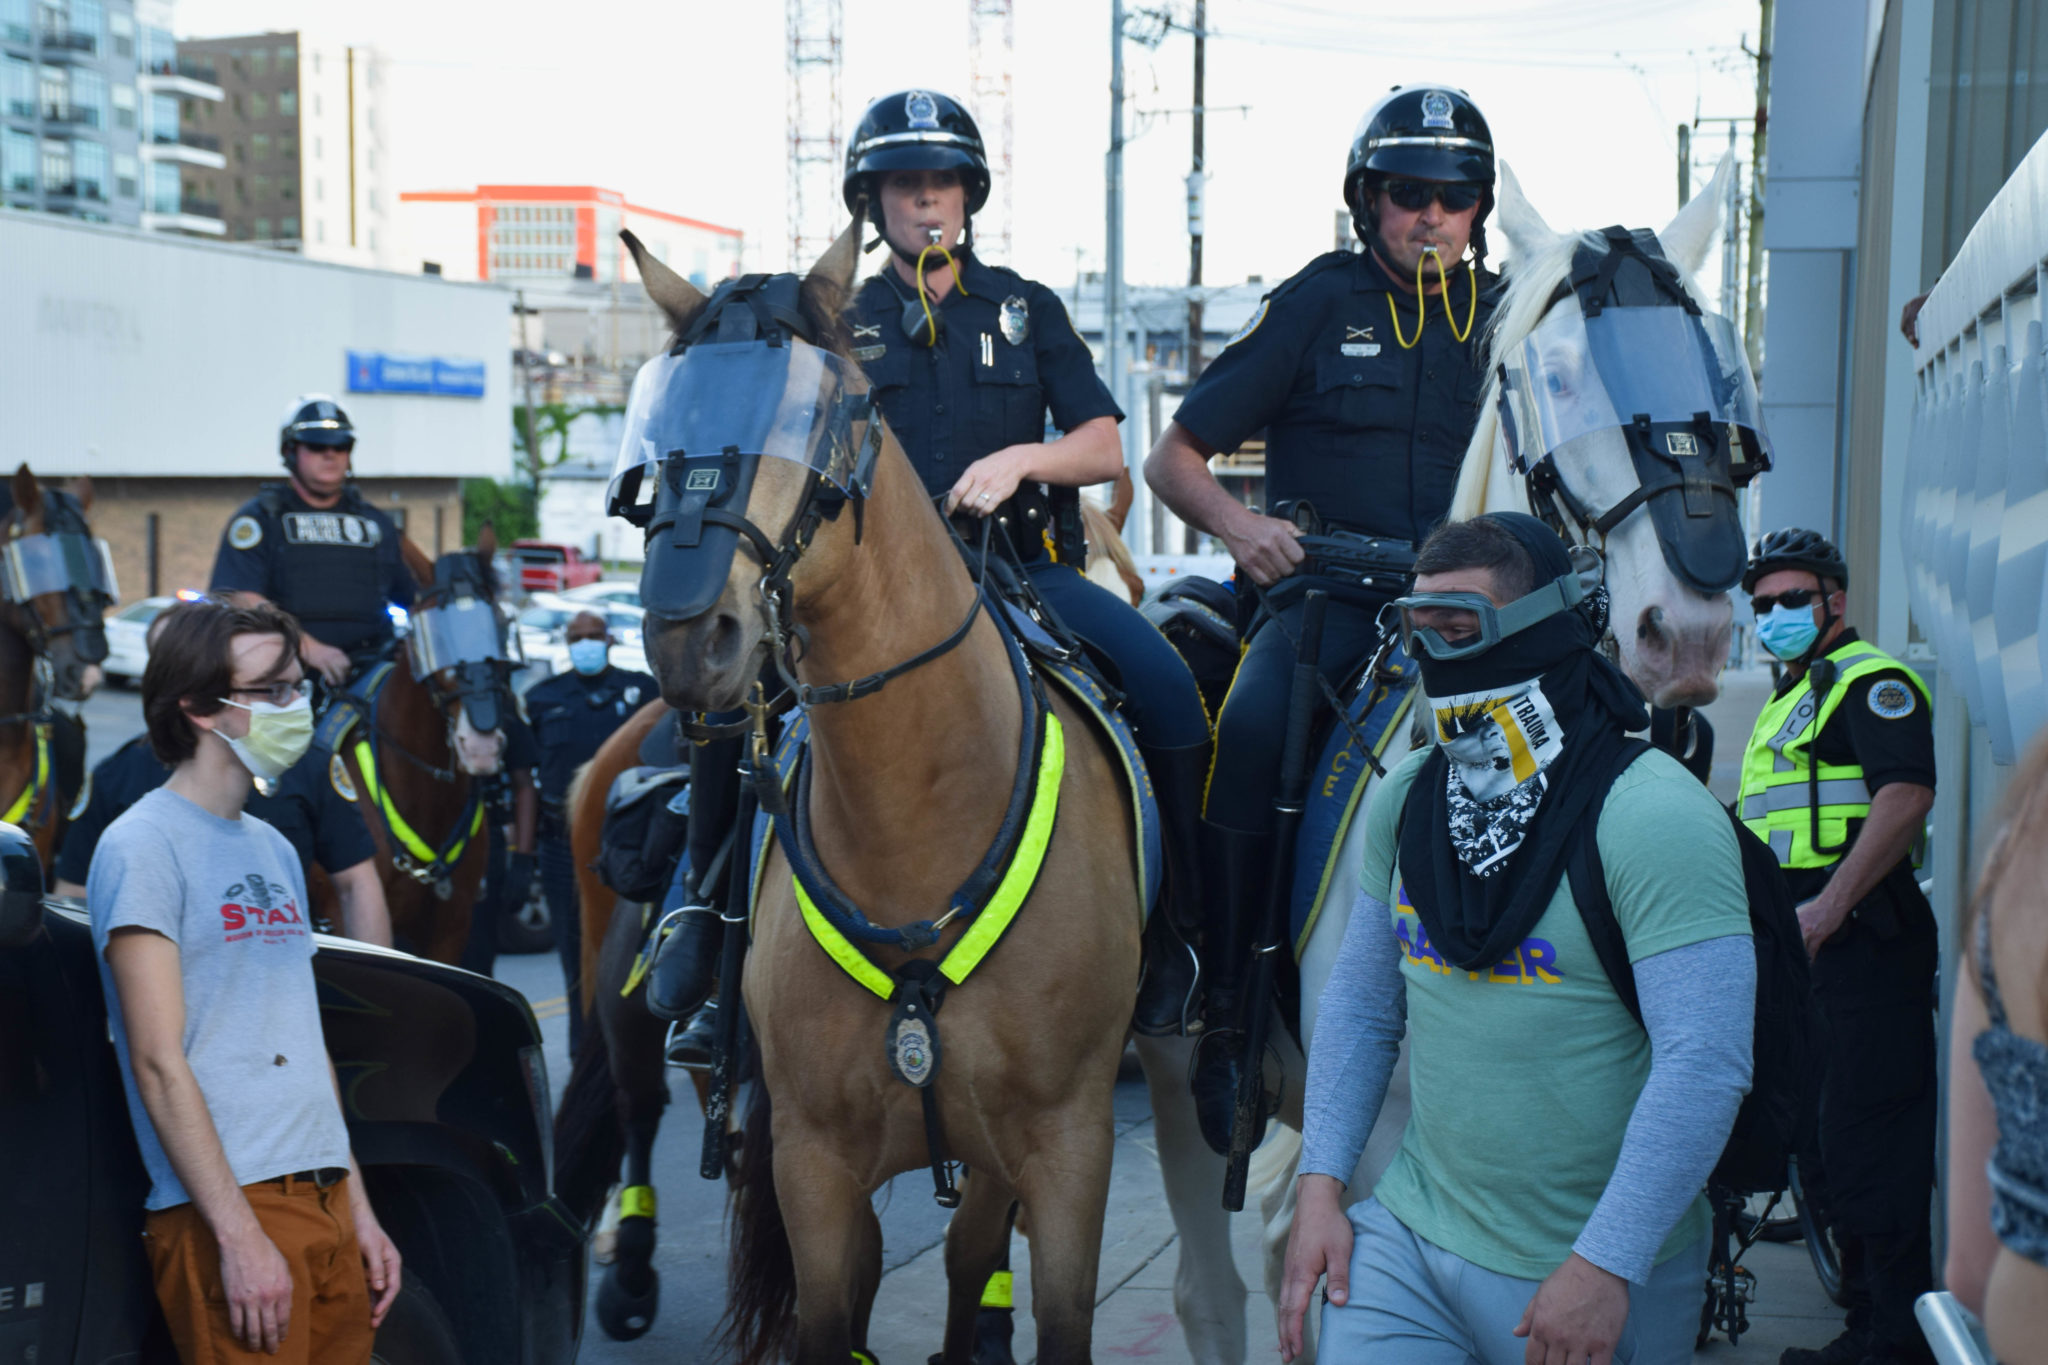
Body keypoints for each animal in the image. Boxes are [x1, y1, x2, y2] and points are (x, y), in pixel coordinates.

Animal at [618, 218, 1138, 1358]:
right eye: (662, 423)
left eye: (819, 415)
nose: (688, 636)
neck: (918, 825)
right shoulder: (812, 1166)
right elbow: (830, 1310)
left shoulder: (1065, 1151)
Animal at [1138, 154, 1744, 1358]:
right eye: (1554, 376)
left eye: (1717, 371)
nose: (1688, 631)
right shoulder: (1373, 1152)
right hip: (1176, 1072)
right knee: (1207, 1289)